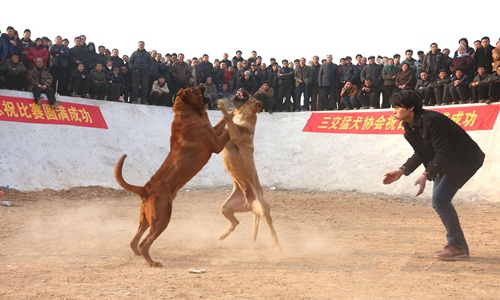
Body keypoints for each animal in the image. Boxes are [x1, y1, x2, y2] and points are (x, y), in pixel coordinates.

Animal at [114, 86, 229, 268]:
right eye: (194, 90)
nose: (203, 85)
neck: (189, 113)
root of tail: (145, 189)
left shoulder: (213, 130)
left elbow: (222, 122)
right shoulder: (216, 145)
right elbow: (228, 130)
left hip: (146, 219)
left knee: (134, 240)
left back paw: (139, 254)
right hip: (162, 218)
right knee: (144, 243)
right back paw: (153, 263)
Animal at [218, 91, 284, 251]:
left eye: (252, 96)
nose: (242, 88)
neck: (242, 115)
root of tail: (248, 204)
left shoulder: (238, 135)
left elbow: (230, 121)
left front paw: (223, 107)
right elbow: (225, 122)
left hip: (264, 209)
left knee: (272, 228)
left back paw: (277, 246)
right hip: (225, 208)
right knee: (236, 223)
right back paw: (223, 235)